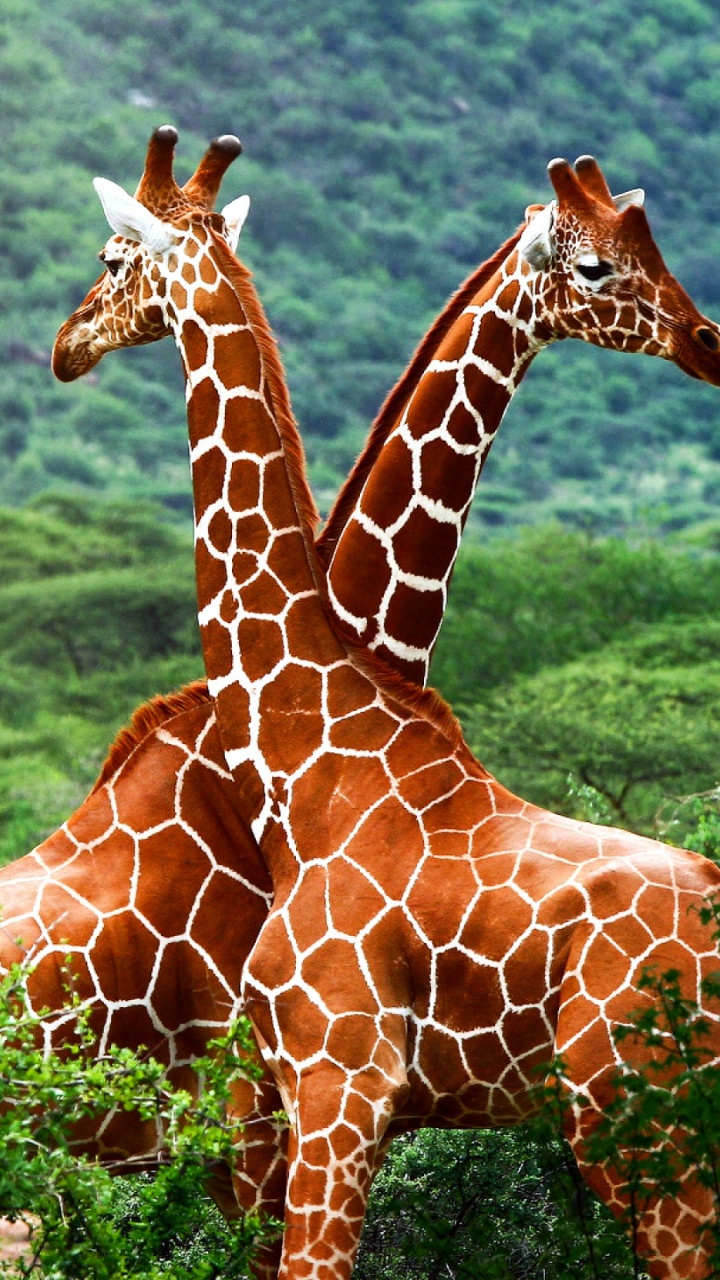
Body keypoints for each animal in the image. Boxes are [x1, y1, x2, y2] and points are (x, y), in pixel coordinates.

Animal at [52, 128, 720, 1279]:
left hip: (641, 1121)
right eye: (601, 264)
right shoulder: (298, 1105)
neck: (308, 751)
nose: (65, 344)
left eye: (108, 257)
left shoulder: (335, 1084)